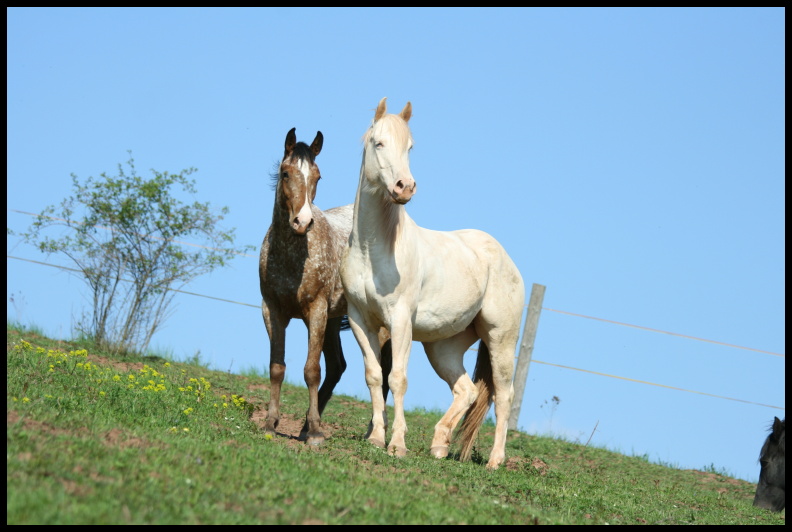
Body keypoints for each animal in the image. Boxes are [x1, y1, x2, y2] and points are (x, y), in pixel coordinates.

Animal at [340, 96, 524, 470]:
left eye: (410, 146)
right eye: (378, 142)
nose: (405, 187)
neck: (373, 247)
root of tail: (504, 258)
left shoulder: (399, 320)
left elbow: (397, 378)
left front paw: (397, 444)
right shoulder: (359, 319)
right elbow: (374, 376)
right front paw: (377, 438)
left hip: (500, 339)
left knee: (503, 395)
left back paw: (495, 461)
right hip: (444, 347)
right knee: (467, 390)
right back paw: (439, 445)